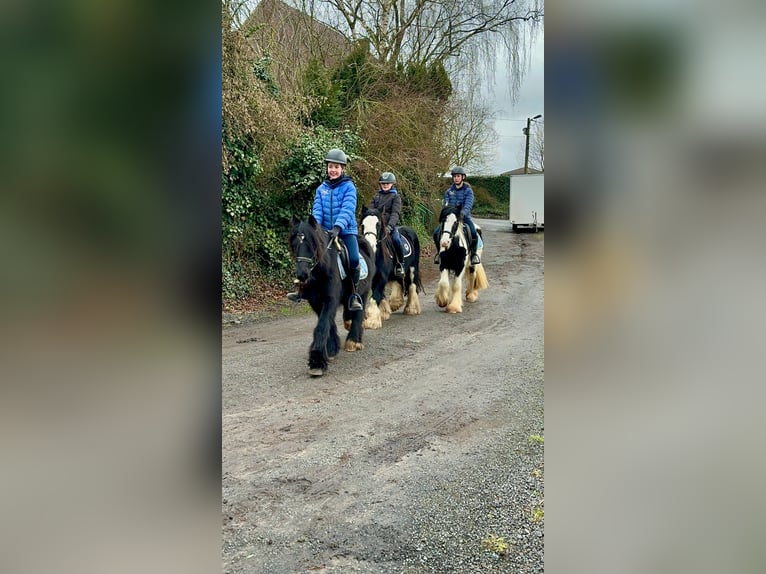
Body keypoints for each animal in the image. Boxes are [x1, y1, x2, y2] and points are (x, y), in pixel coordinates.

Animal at [288, 216, 376, 378]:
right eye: (295, 244)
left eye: (312, 244)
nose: (302, 275)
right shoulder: (316, 302)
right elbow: (328, 324)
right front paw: (331, 348)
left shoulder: (330, 300)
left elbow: (322, 326)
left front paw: (317, 361)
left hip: (364, 291)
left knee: (359, 312)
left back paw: (354, 341)